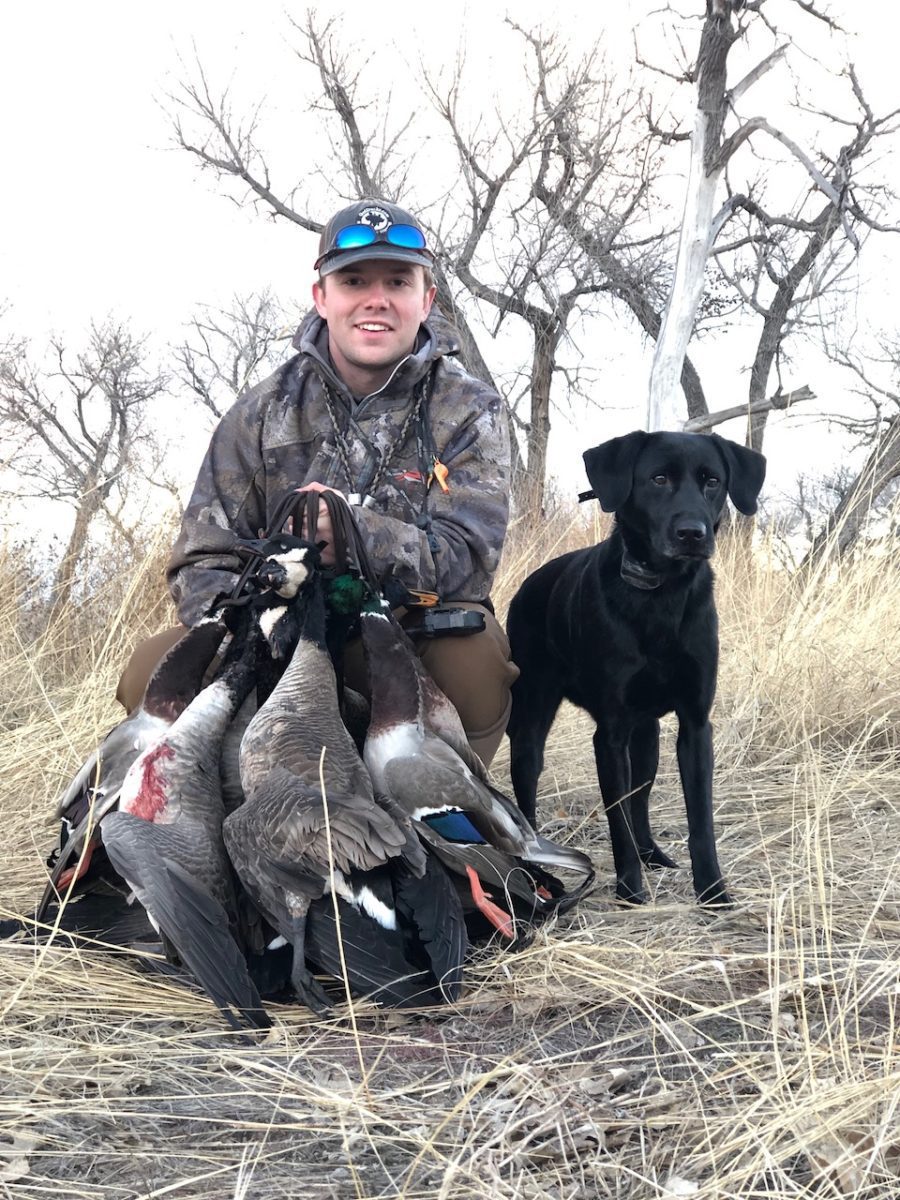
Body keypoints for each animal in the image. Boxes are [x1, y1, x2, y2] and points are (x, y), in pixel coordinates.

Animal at [508, 427, 768, 902]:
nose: (692, 533)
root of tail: (529, 584)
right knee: (528, 791)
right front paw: (630, 889)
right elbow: (618, 821)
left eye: (713, 481)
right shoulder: (609, 734)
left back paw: (653, 854)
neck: (662, 597)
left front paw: (712, 890)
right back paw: (535, 864)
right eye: (658, 479)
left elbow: (699, 820)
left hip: (646, 735)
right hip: (532, 721)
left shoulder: (694, 725)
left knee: (640, 797)